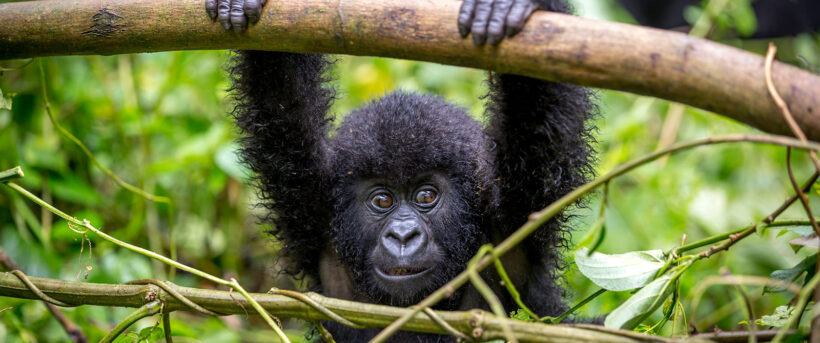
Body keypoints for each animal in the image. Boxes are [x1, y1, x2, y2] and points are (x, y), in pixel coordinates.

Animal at [210, 0, 596, 340]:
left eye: (426, 195)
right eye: (382, 200)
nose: (402, 235)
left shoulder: (517, 212)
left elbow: (538, 113)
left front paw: (516, 6)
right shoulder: (312, 205)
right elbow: (281, 102)